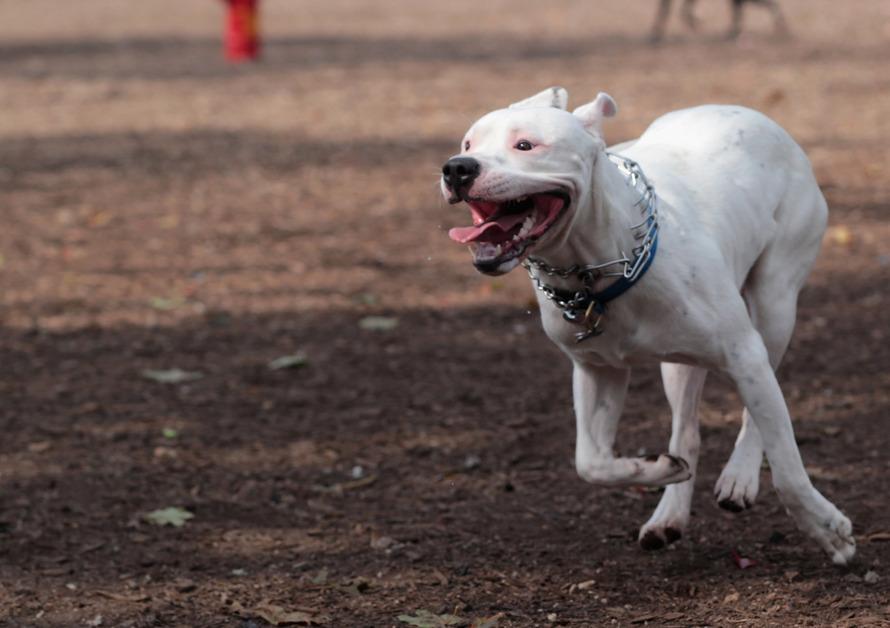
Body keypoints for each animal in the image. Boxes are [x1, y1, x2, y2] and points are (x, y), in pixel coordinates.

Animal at [440, 87, 856, 564]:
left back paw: (739, 477)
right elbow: (591, 462)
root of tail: (747, 112)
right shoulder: (597, 371)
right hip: (679, 365)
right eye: (468, 143)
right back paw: (668, 514)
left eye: (526, 145)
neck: (599, 269)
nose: (457, 167)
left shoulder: (743, 352)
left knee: (759, 412)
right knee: (686, 431)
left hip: (775, 304)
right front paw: (656, 468)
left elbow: (786, 464)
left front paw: (827, 530)